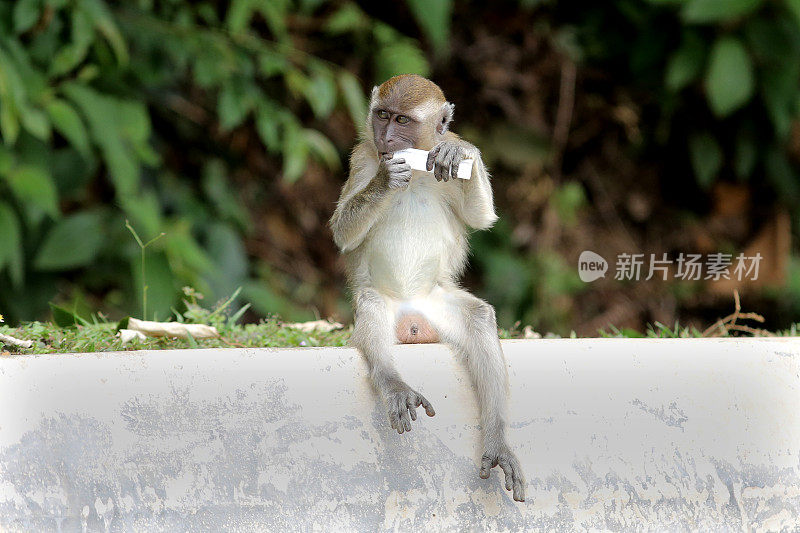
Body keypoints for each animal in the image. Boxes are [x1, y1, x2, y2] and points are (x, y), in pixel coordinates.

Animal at [330, 74, 524, 498]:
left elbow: (481, 216)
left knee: (479, 318)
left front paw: (460, 148)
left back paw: (497, 438)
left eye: (402, 120)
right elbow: (343, 234)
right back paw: (393, 382)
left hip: (436, 303)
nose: (387, 137)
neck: (418, 171)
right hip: (387, 305)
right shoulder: (363, 157)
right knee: (371, 306)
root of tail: (412, 316)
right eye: (382, 115)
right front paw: (387, 180)